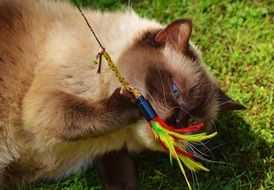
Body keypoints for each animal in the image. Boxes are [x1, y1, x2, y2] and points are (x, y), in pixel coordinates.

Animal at [0, 0, 244, 190]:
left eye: (194, 122)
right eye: (175, 91)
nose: (177, 121)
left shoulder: (111, 153)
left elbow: (123, 177)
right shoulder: (42, 104)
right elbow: (82, 112)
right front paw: (130, 103)